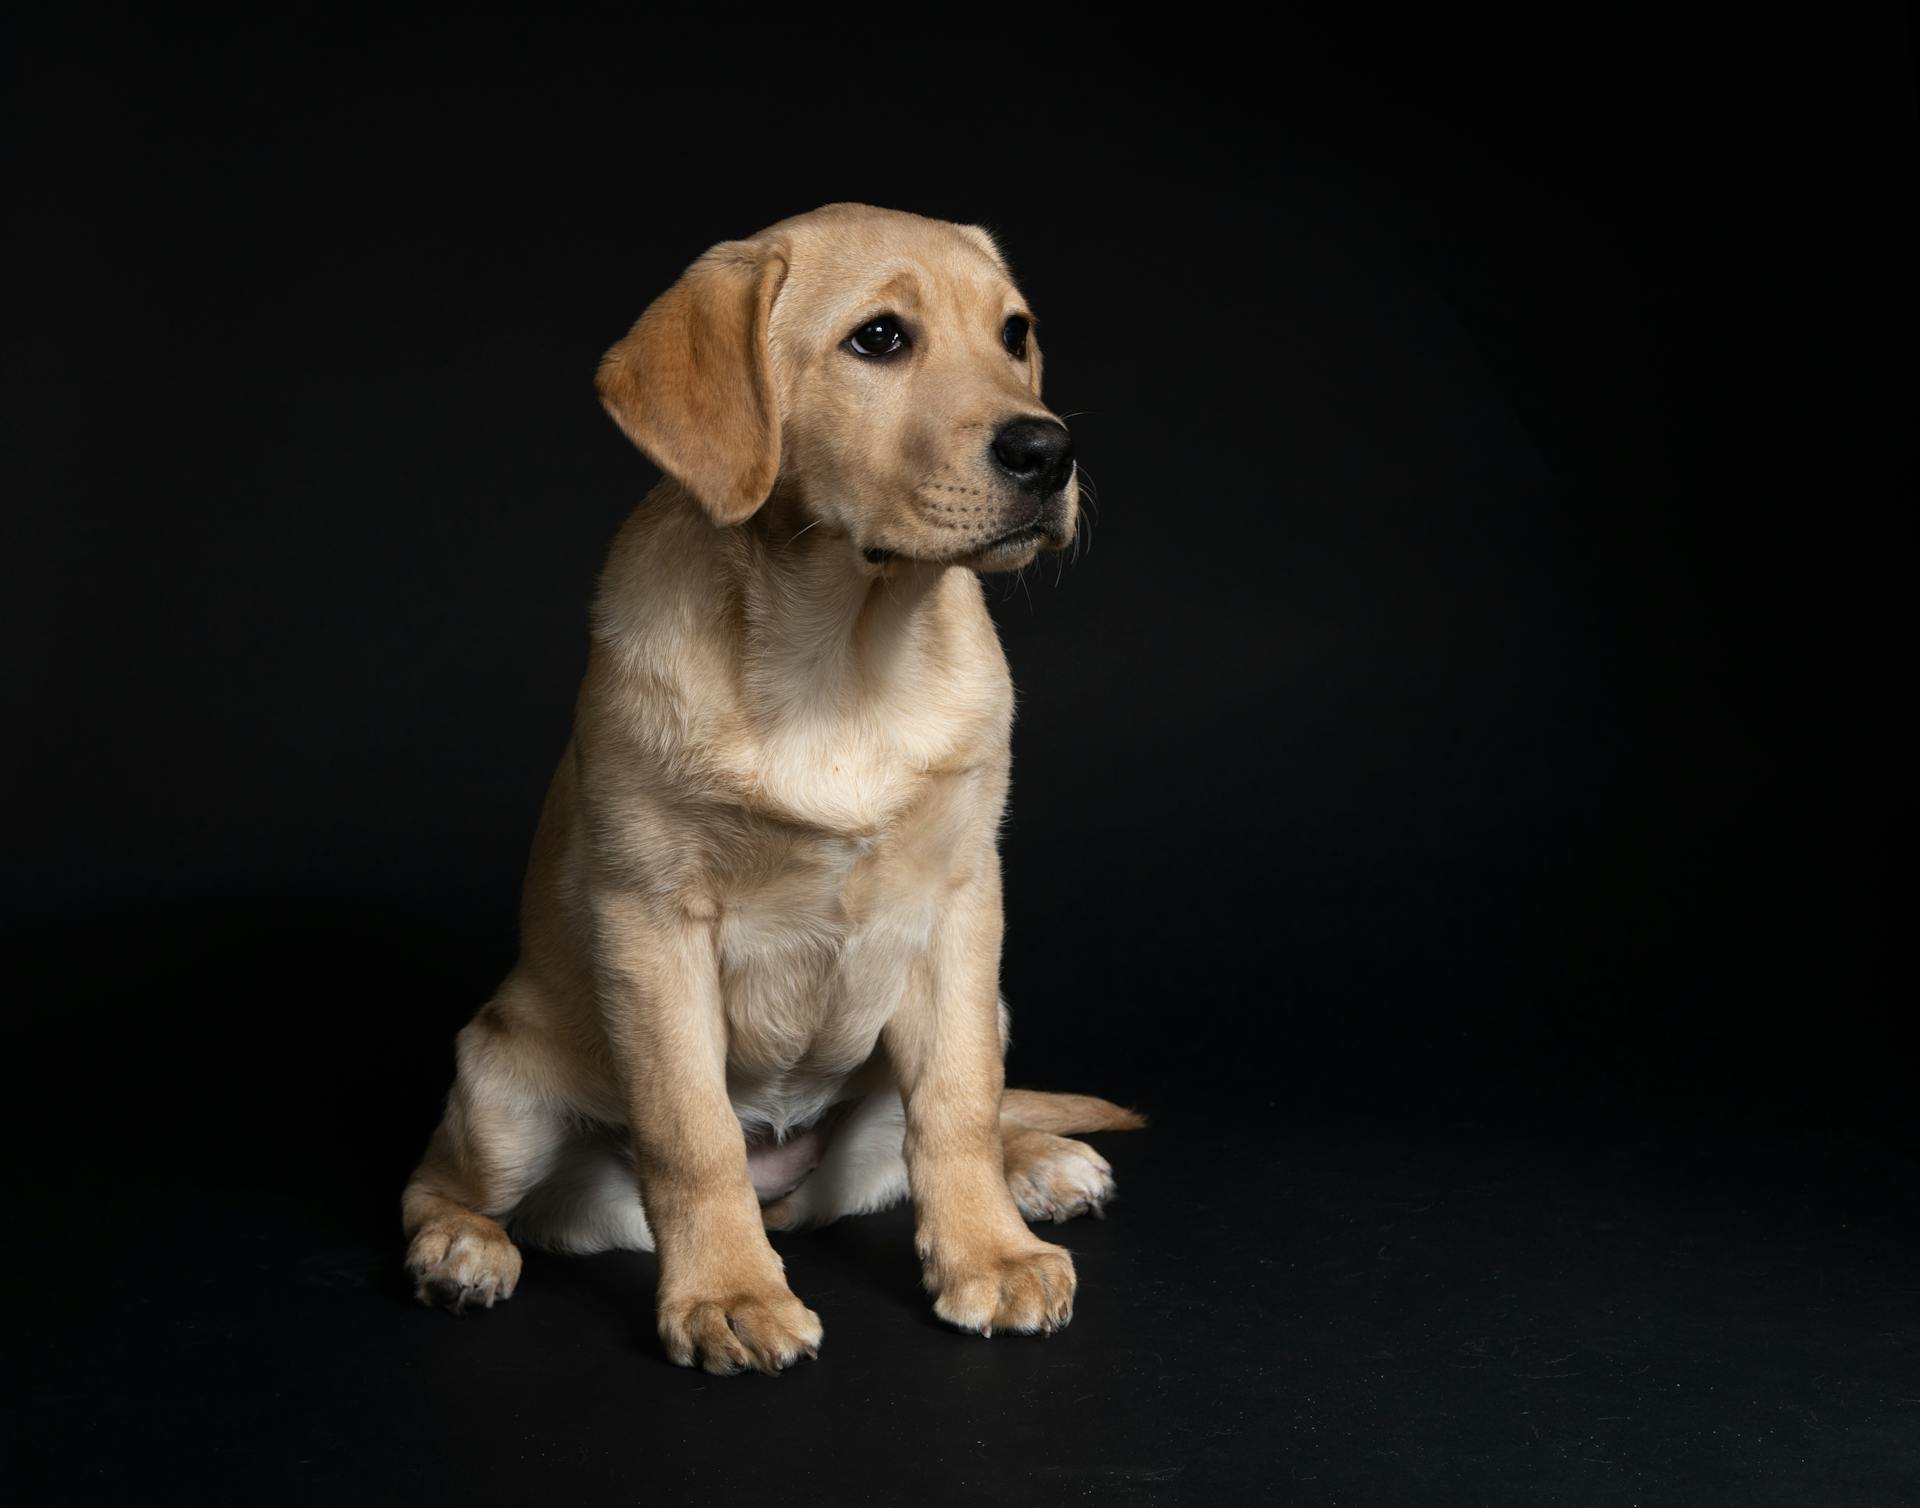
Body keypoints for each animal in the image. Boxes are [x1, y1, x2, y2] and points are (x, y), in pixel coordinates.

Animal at [401, 202, 1136, 1375]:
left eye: (1015, 334)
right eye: (879, 338)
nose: (1050, 450)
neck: (846, 653)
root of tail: (787, 1186)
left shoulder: (962, 904)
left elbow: (959, 1100)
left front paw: (988, 1252)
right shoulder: (652, 923)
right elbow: (690, 1132)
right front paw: (729, 1293)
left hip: (972, 1013)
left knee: (948, 1121)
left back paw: (1037, 1162)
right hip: (502, 1093)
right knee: (439, 1180)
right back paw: (461, 1251)